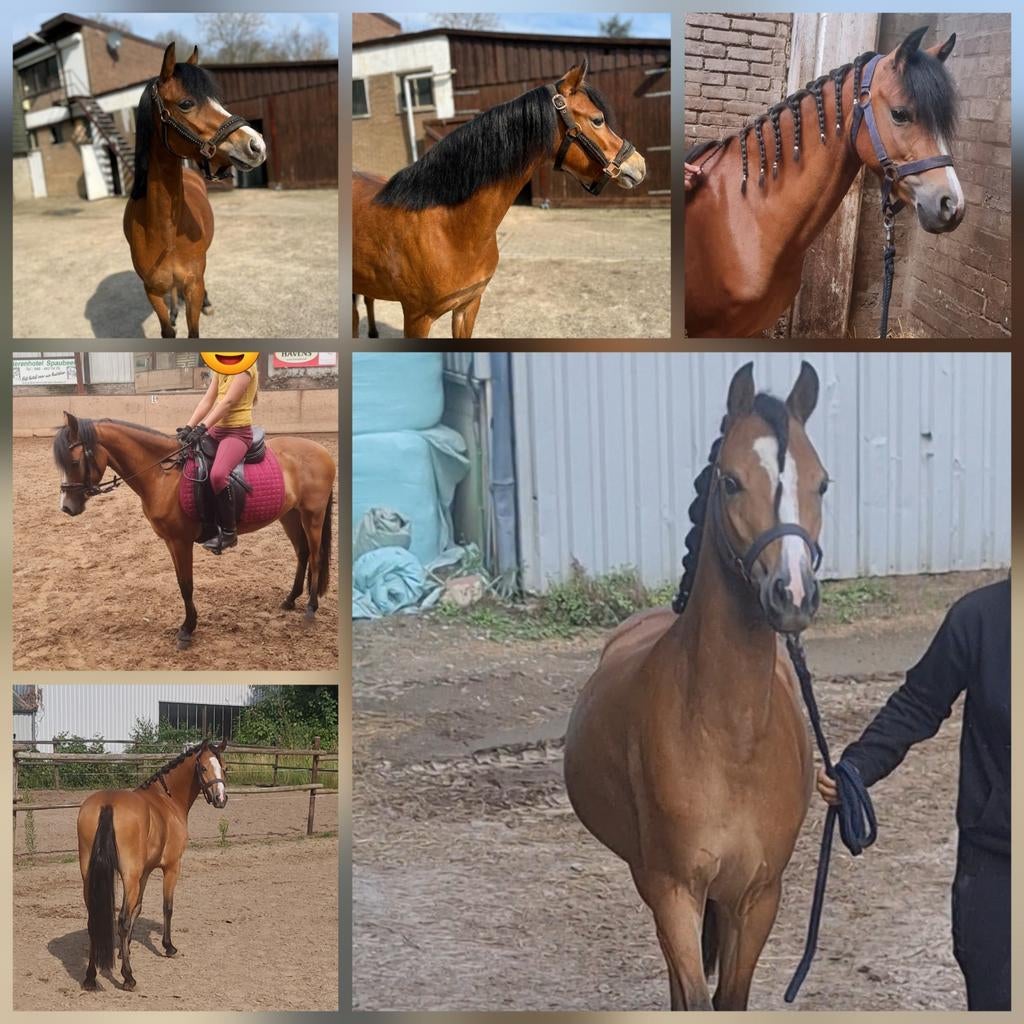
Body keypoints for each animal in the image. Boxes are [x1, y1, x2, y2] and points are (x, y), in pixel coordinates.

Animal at [53, 413, 336, 649]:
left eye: (75, 461)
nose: (66, 507)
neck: (162, 475)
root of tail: (323, 451)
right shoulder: (170, 541)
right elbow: (181, 583)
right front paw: (189, 624)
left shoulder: (181, 541)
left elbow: (186, 585)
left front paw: (187, 630)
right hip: (290, 514)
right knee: (302, 553)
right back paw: (291, 599)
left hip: (312, 514)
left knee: (315, 556)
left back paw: (311, 608)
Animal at [77, 739, 227, 991]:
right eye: (204, 768)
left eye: (223, 767)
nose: (220, 799)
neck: (167, 799)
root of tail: (107, 804)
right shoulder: (171, 867)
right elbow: (167, 907)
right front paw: (168, 946)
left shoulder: (145, 872)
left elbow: (138, 908)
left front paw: (125, 950)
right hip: (129, 876)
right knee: (121, 920)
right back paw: (128, 977)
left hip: (89, 877)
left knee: (94, 920)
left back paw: (90, 977)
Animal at [124, 43, 266, 338]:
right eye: (186, 104)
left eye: (217, 100)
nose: (256, 144)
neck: (163, 230)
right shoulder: (151, 291)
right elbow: (168, 329)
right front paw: (172, 317)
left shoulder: (194, 285)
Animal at [564, 361, 828, 1010]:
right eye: (731, 481)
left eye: (822, 484)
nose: (793, 594)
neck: (729, 738)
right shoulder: (674, 890)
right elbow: (694, 996)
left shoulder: (756, 898)